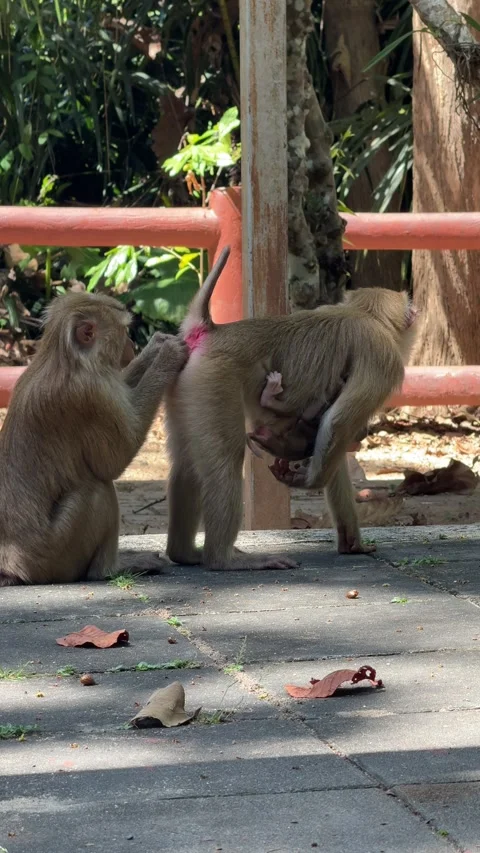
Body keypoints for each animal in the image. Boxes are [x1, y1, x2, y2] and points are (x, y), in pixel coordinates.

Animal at [0, 291, 187, 586]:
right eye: (125, 331)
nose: (132, 345)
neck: (68, 358)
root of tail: (13, 568)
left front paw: (155, 349)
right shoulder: (91, 396)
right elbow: (114, 461)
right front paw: (167, 357)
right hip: (55, 554)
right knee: (97, 489)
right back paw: (110, 569)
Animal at [165, 245, 416, 569]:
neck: (363, 313)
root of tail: (209, 331)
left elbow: (333, 442)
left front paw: (352, 543)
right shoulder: (383, 358)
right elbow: (339, 422)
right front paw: (310, 481)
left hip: (187, 385)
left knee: (186, 465)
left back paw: (183, 553)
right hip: (214, 381)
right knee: (226, 462)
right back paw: (222, 559)